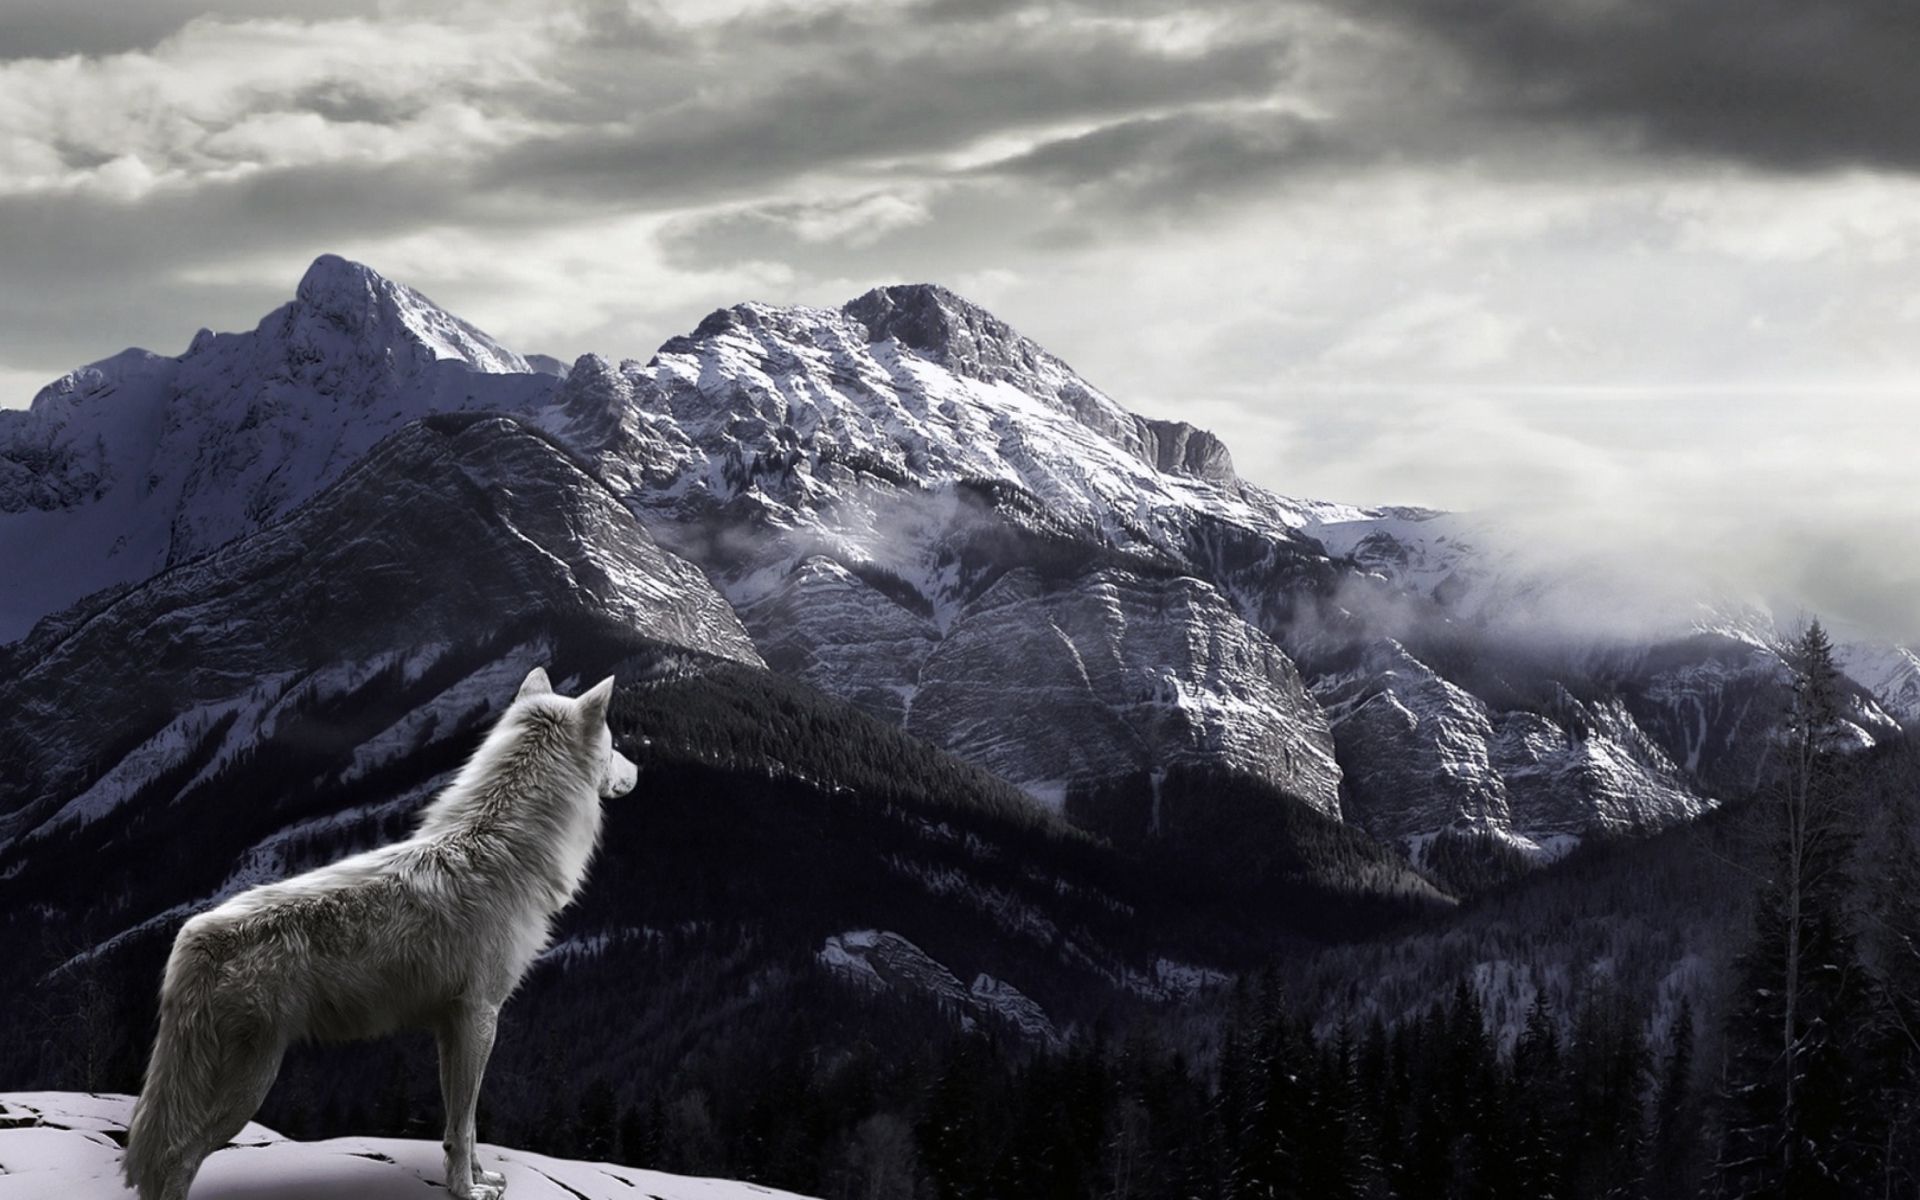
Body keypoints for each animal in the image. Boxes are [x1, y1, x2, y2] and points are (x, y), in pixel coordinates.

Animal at [122, 667, 637, 1200]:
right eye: (615, 744)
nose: (638, 770)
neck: (503, 849)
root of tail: (194, 936)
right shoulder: (481, 1016)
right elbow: (465, 1123)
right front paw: (466, 1190)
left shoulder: (452, 1026)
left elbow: (463, 1124)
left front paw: (478, 1177)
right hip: (247, 1087)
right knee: (175, 1159)